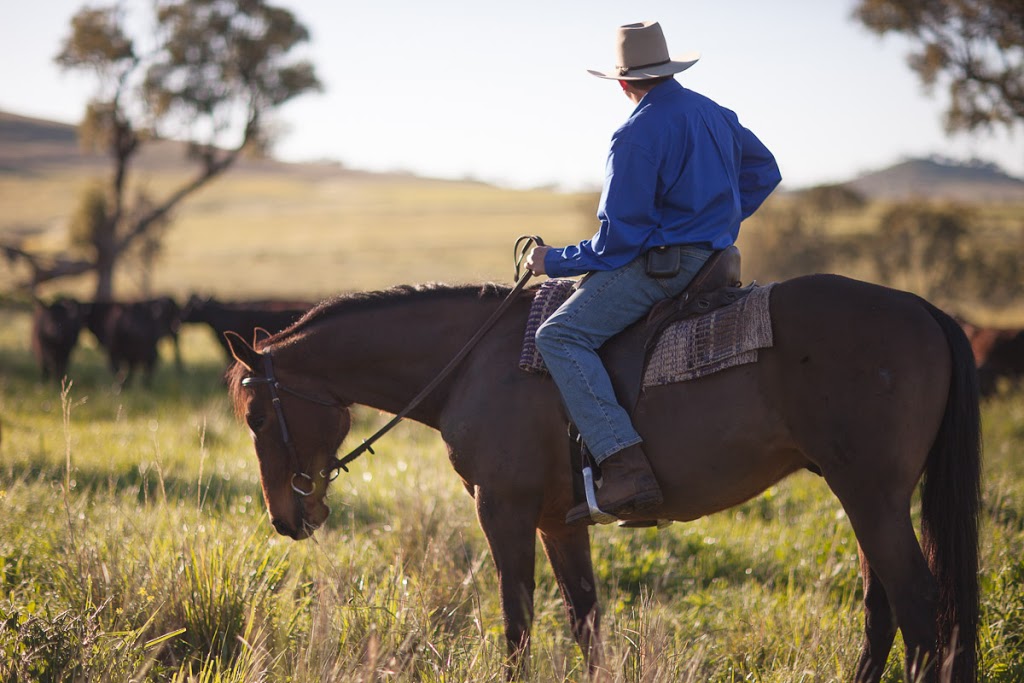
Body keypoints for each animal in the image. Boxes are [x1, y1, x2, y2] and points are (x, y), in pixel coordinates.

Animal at [228, 274, 978, 683]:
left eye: (258, 414)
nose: (285, 518)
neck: (474, 361)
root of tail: (924, 309)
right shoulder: (558, 523)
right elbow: (585, 619)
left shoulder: (503, 510)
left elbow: (518, 623)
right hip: (865, 501)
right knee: (884, 614)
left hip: (874, 499)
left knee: (920, 614)